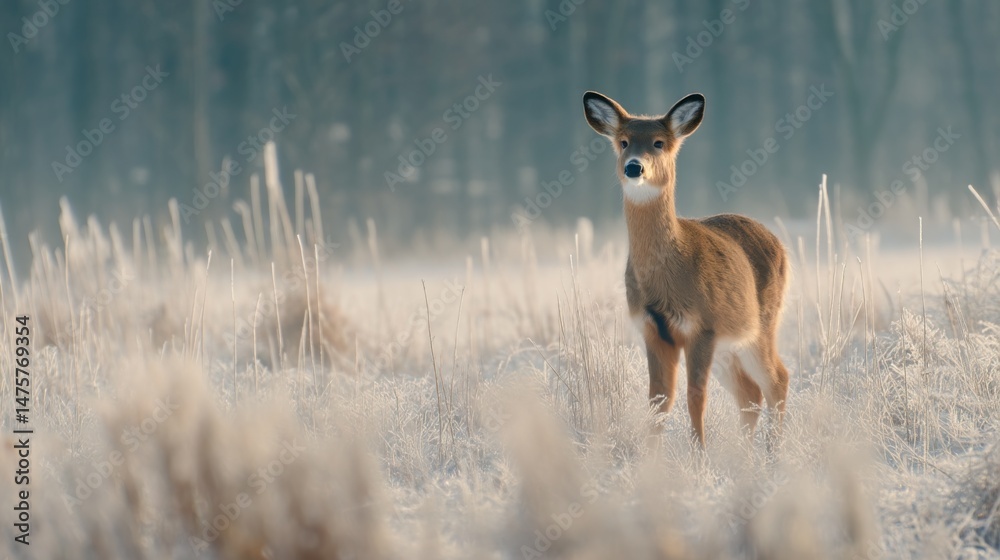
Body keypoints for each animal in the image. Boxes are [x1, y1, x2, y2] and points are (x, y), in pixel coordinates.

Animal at [582, 91, 790, 448]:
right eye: (623, 142)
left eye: (659, 142)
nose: (634, 166)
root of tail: (778, 243)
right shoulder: (653, 330)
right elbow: (659, 399)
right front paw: (652, 457)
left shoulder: (702, 327)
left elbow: (695, 396)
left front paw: (699, 456)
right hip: (730, 346)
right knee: (750, 393)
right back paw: (748, 454)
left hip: (760, 326)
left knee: (777, 380)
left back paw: (774, 451)